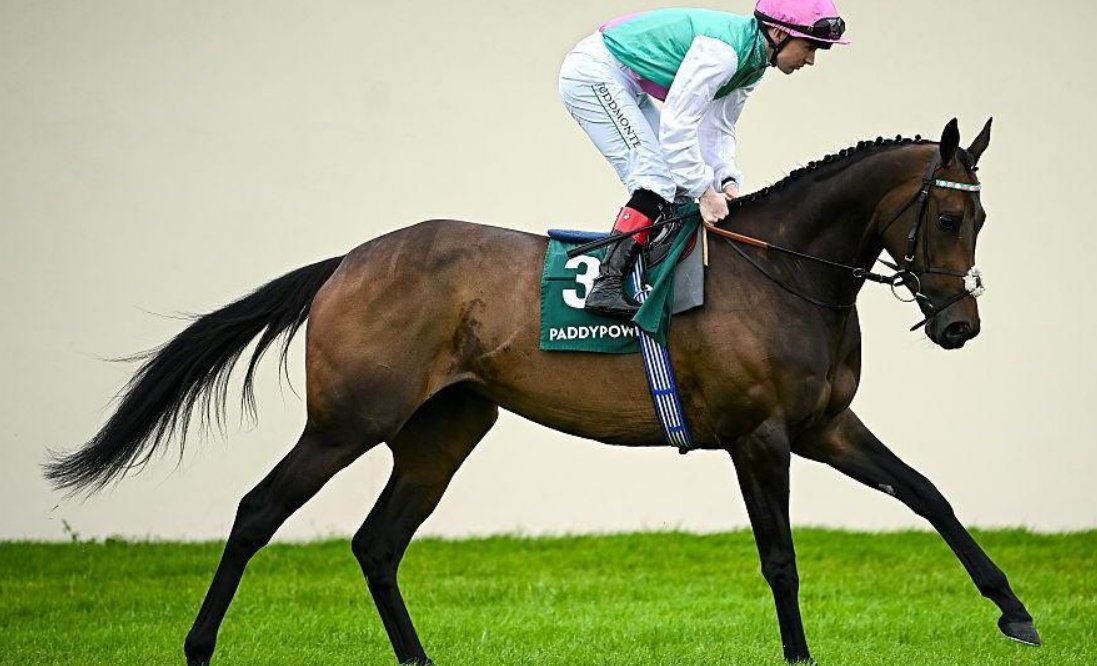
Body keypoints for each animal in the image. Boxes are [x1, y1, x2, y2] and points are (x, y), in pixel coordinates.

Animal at [46, 118, 1039, 665]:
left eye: (982, 215)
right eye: (947, 216)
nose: (958, 326)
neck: (785, 273)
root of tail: (348, 263)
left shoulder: (824, 424)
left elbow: (929, 497)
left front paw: (1016, 612)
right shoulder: (760, 434)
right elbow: (781, 559)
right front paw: (799, 657)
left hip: (443, 428)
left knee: (376, 543)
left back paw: (417, 659)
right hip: (347, 419)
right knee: (258, 511)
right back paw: (198, 647)